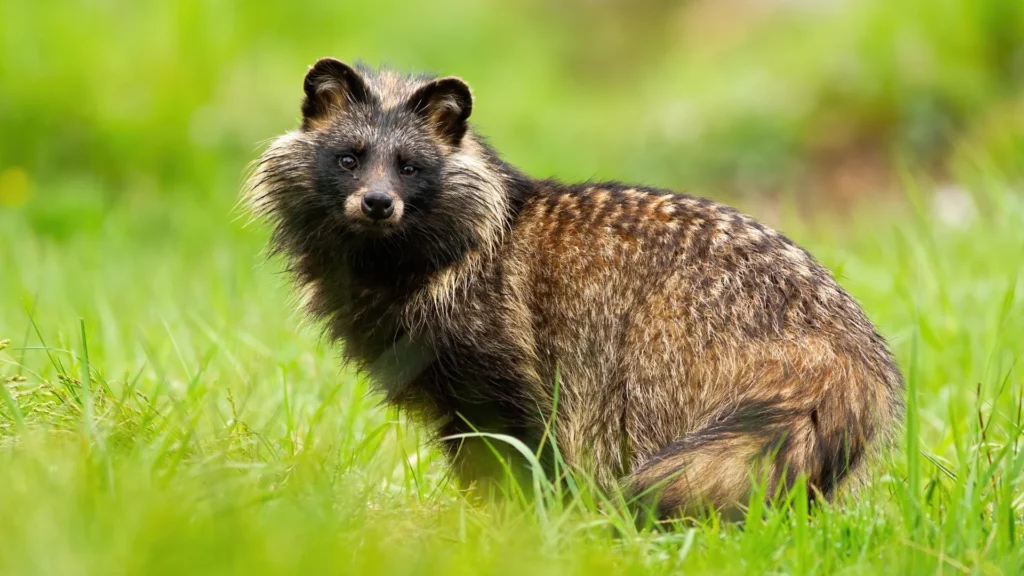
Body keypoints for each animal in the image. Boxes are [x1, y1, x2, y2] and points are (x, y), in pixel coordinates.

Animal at [246, 58, 905, 518]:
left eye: (410, 166)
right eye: (349, 157)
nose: (378, 203)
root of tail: (850, 348)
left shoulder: (497, 344)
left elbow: (514, 441)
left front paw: (518, 516)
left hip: (677, 352)